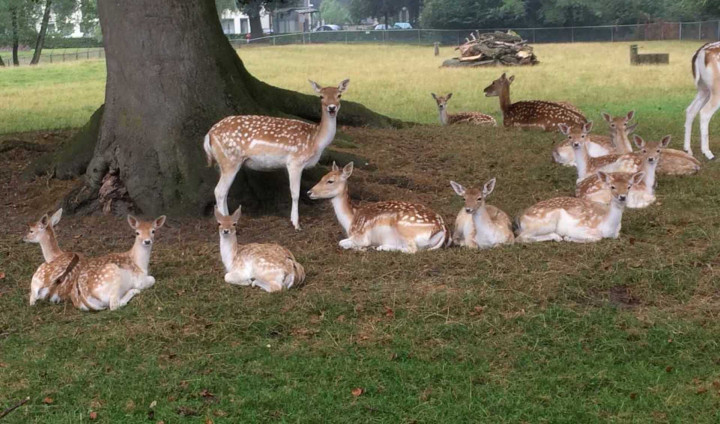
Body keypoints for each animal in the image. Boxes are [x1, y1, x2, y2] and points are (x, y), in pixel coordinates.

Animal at [204, 79, 350, 232]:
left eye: (339, 95)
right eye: (321, 96)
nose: (332, 108)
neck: (315, 141)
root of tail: (209, 134)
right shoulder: (295, 161)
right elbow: (295, 193)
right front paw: (296, 224)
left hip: (223, 162)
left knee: (224, 191)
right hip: (230, 160)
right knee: (219, 191)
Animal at [308, 162, 450, 253]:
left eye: (330, 181)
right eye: (322, 177)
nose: (309, 192)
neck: (351, 220)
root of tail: (442, 230)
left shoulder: (361, 236)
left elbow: (342, 242)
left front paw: (362, 248)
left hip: (404, 227)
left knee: (412, 249)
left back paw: (380, 247)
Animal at [516, 171, 644, 243]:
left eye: (629, 186)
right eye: (612, 186)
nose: (622, 197)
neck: (609, 227)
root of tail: (520, 219)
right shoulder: (580, 228)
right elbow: (597, 237)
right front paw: (569, 238)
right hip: (544, 223)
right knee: (521, 238)